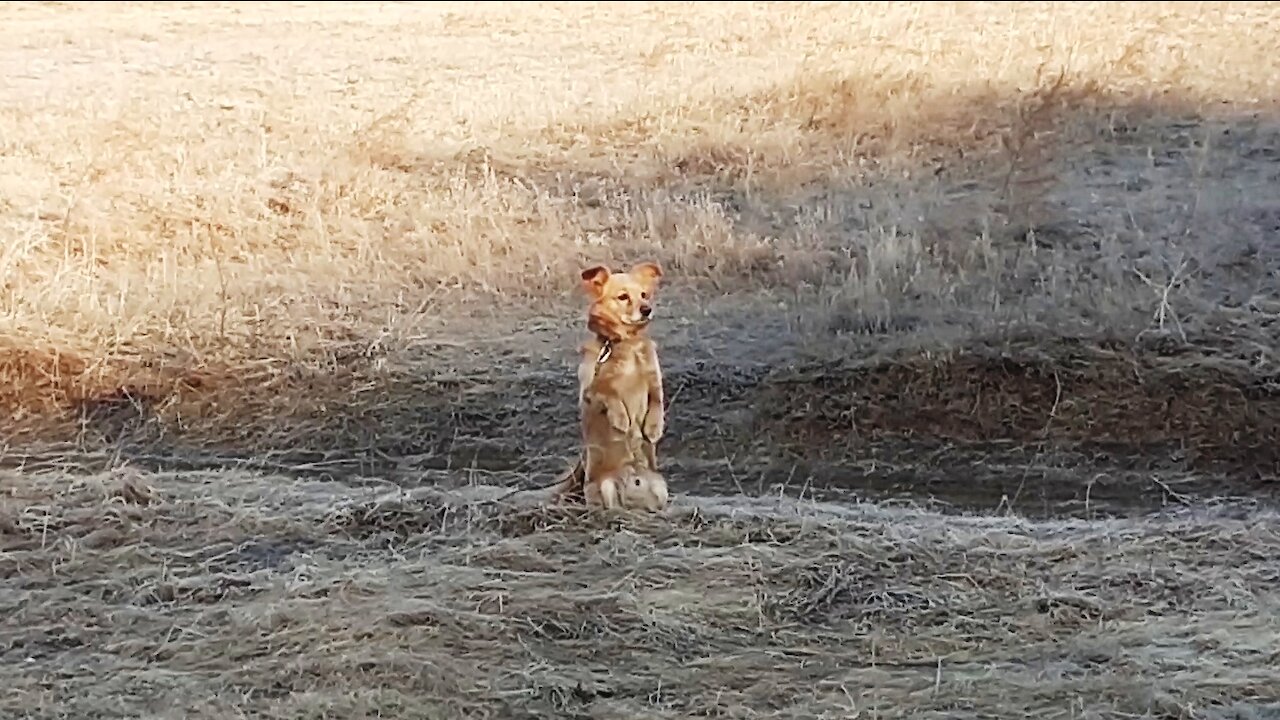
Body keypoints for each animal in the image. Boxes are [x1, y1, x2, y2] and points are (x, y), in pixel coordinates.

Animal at [550, 258, 670, 509]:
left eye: (644, 295)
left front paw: (653, 428)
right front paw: (622, 420)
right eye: (623, 297)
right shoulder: (589, 388)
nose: (647, 309)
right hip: (605, 486)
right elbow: (608, 391)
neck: (625, 344)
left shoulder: (653, 378)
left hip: (660, 486)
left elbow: (657, 400)